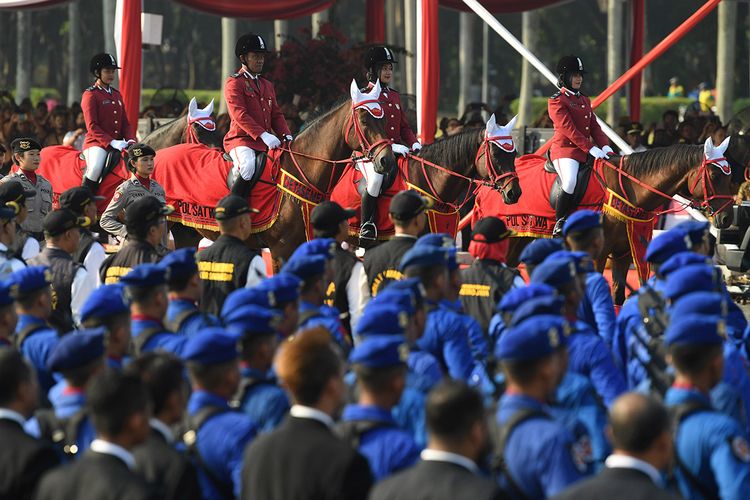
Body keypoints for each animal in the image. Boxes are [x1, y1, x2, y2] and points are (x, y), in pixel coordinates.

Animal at [502, 135, 736, 304]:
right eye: (714, 176)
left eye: (730, 176)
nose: (727, 218)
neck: (628, 190)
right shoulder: (598, 254)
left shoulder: (623, 253)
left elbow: (618, 297)